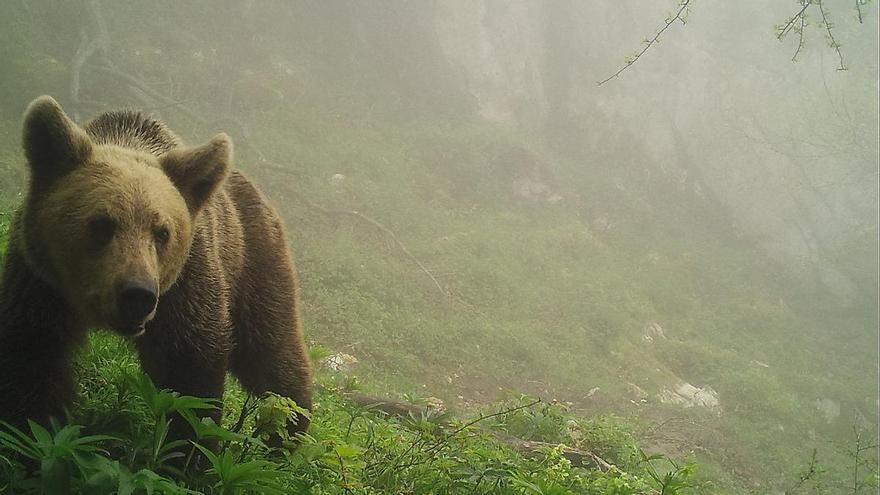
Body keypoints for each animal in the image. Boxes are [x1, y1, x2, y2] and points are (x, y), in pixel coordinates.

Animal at [0, 95, 312, 440]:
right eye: (101, 224)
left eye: (162, 232)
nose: (137, 294)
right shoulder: (40, 281)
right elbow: (34, 358)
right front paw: (31, 431)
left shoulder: (185, 286)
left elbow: (189, 370)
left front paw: (188, 444)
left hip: (256, 263)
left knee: (271, 353)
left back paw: (289, 429)